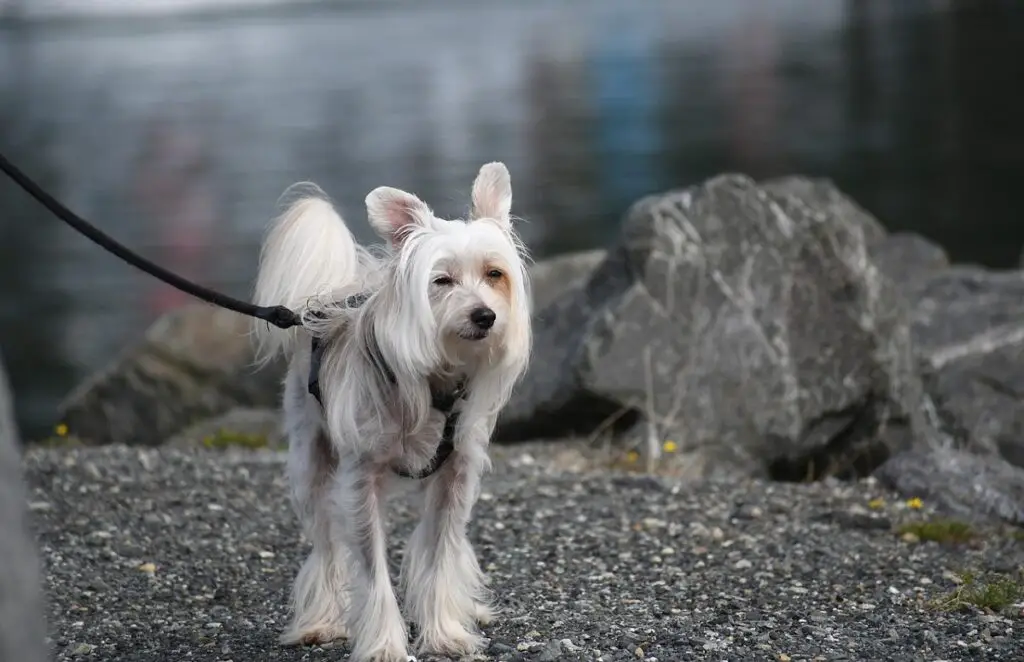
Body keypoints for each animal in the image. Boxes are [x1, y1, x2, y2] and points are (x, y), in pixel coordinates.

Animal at [250, 161, 532, 662]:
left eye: (495, 274)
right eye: (441, 281)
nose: (485, 316)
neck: (437, 382)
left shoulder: (456, 478)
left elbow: (441, 555)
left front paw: (445, 632)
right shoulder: (359, 482)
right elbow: (371, 571)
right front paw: (384, 644)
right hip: (311, 461)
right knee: (326, 547)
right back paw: (321, 620)